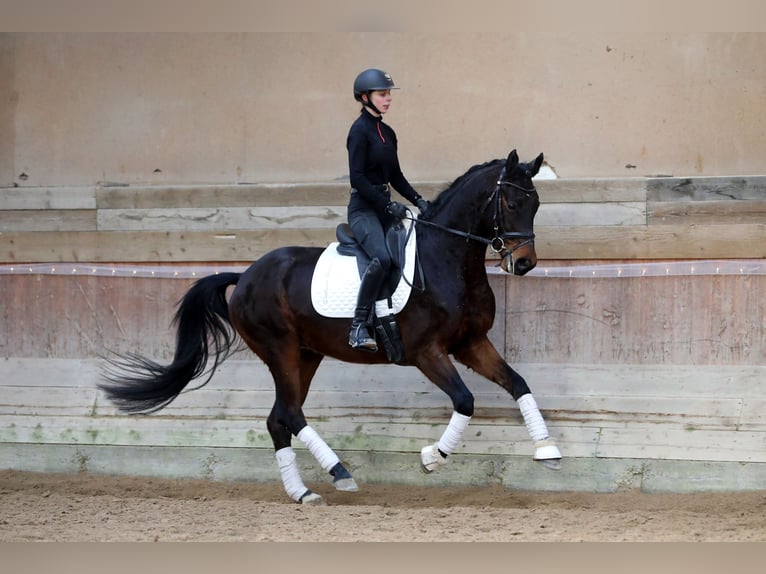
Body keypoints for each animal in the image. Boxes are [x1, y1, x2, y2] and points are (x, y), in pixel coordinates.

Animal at [97, 151, 564, 506]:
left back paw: (302, 493)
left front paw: (548, 450)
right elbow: (466, 400)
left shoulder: (470, 343)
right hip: (280, 350)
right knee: (289, 413)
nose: (524, 263)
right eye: (510, 203)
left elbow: (518, 383)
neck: (446, 258)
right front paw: (433, 456)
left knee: (278, 418)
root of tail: (245, 275)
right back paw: (339, 472)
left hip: (306, 355)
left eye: (536, 204)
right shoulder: (427, 352)